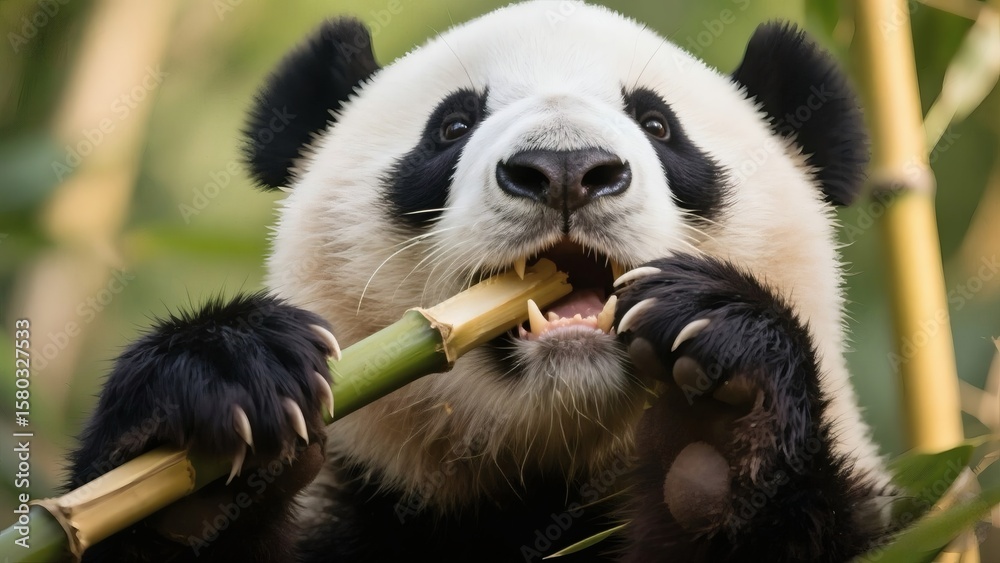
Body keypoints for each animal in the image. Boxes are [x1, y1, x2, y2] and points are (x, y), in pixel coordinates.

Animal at [67, 1, 897, 561]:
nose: (566, 167)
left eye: (659, 125)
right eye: (452, 126)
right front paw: (217, 394)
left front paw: (725, 415)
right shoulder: (365, 500)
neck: (542, 481)